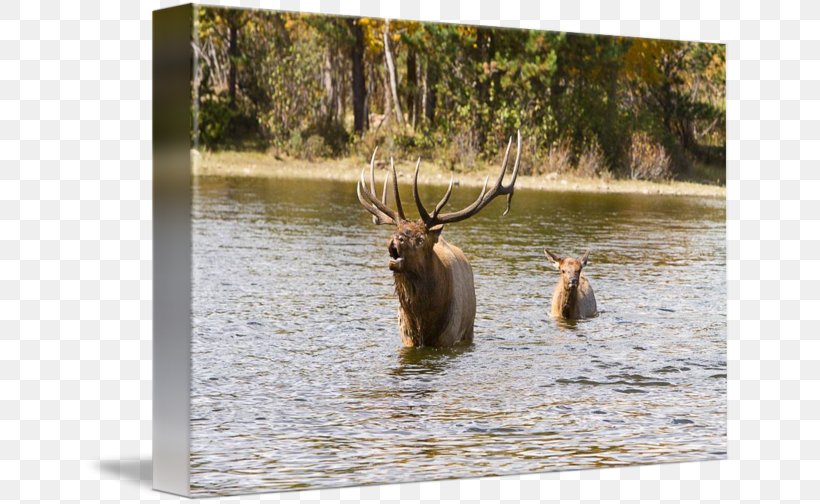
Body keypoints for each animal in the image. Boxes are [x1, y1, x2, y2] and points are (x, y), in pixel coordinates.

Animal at [356, 132, 524, 348]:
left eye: (420, 239)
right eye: (397, 230)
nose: (394, 240)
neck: (422, 321)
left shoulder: (448, 337)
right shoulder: (406, 339)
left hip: (469, 328)